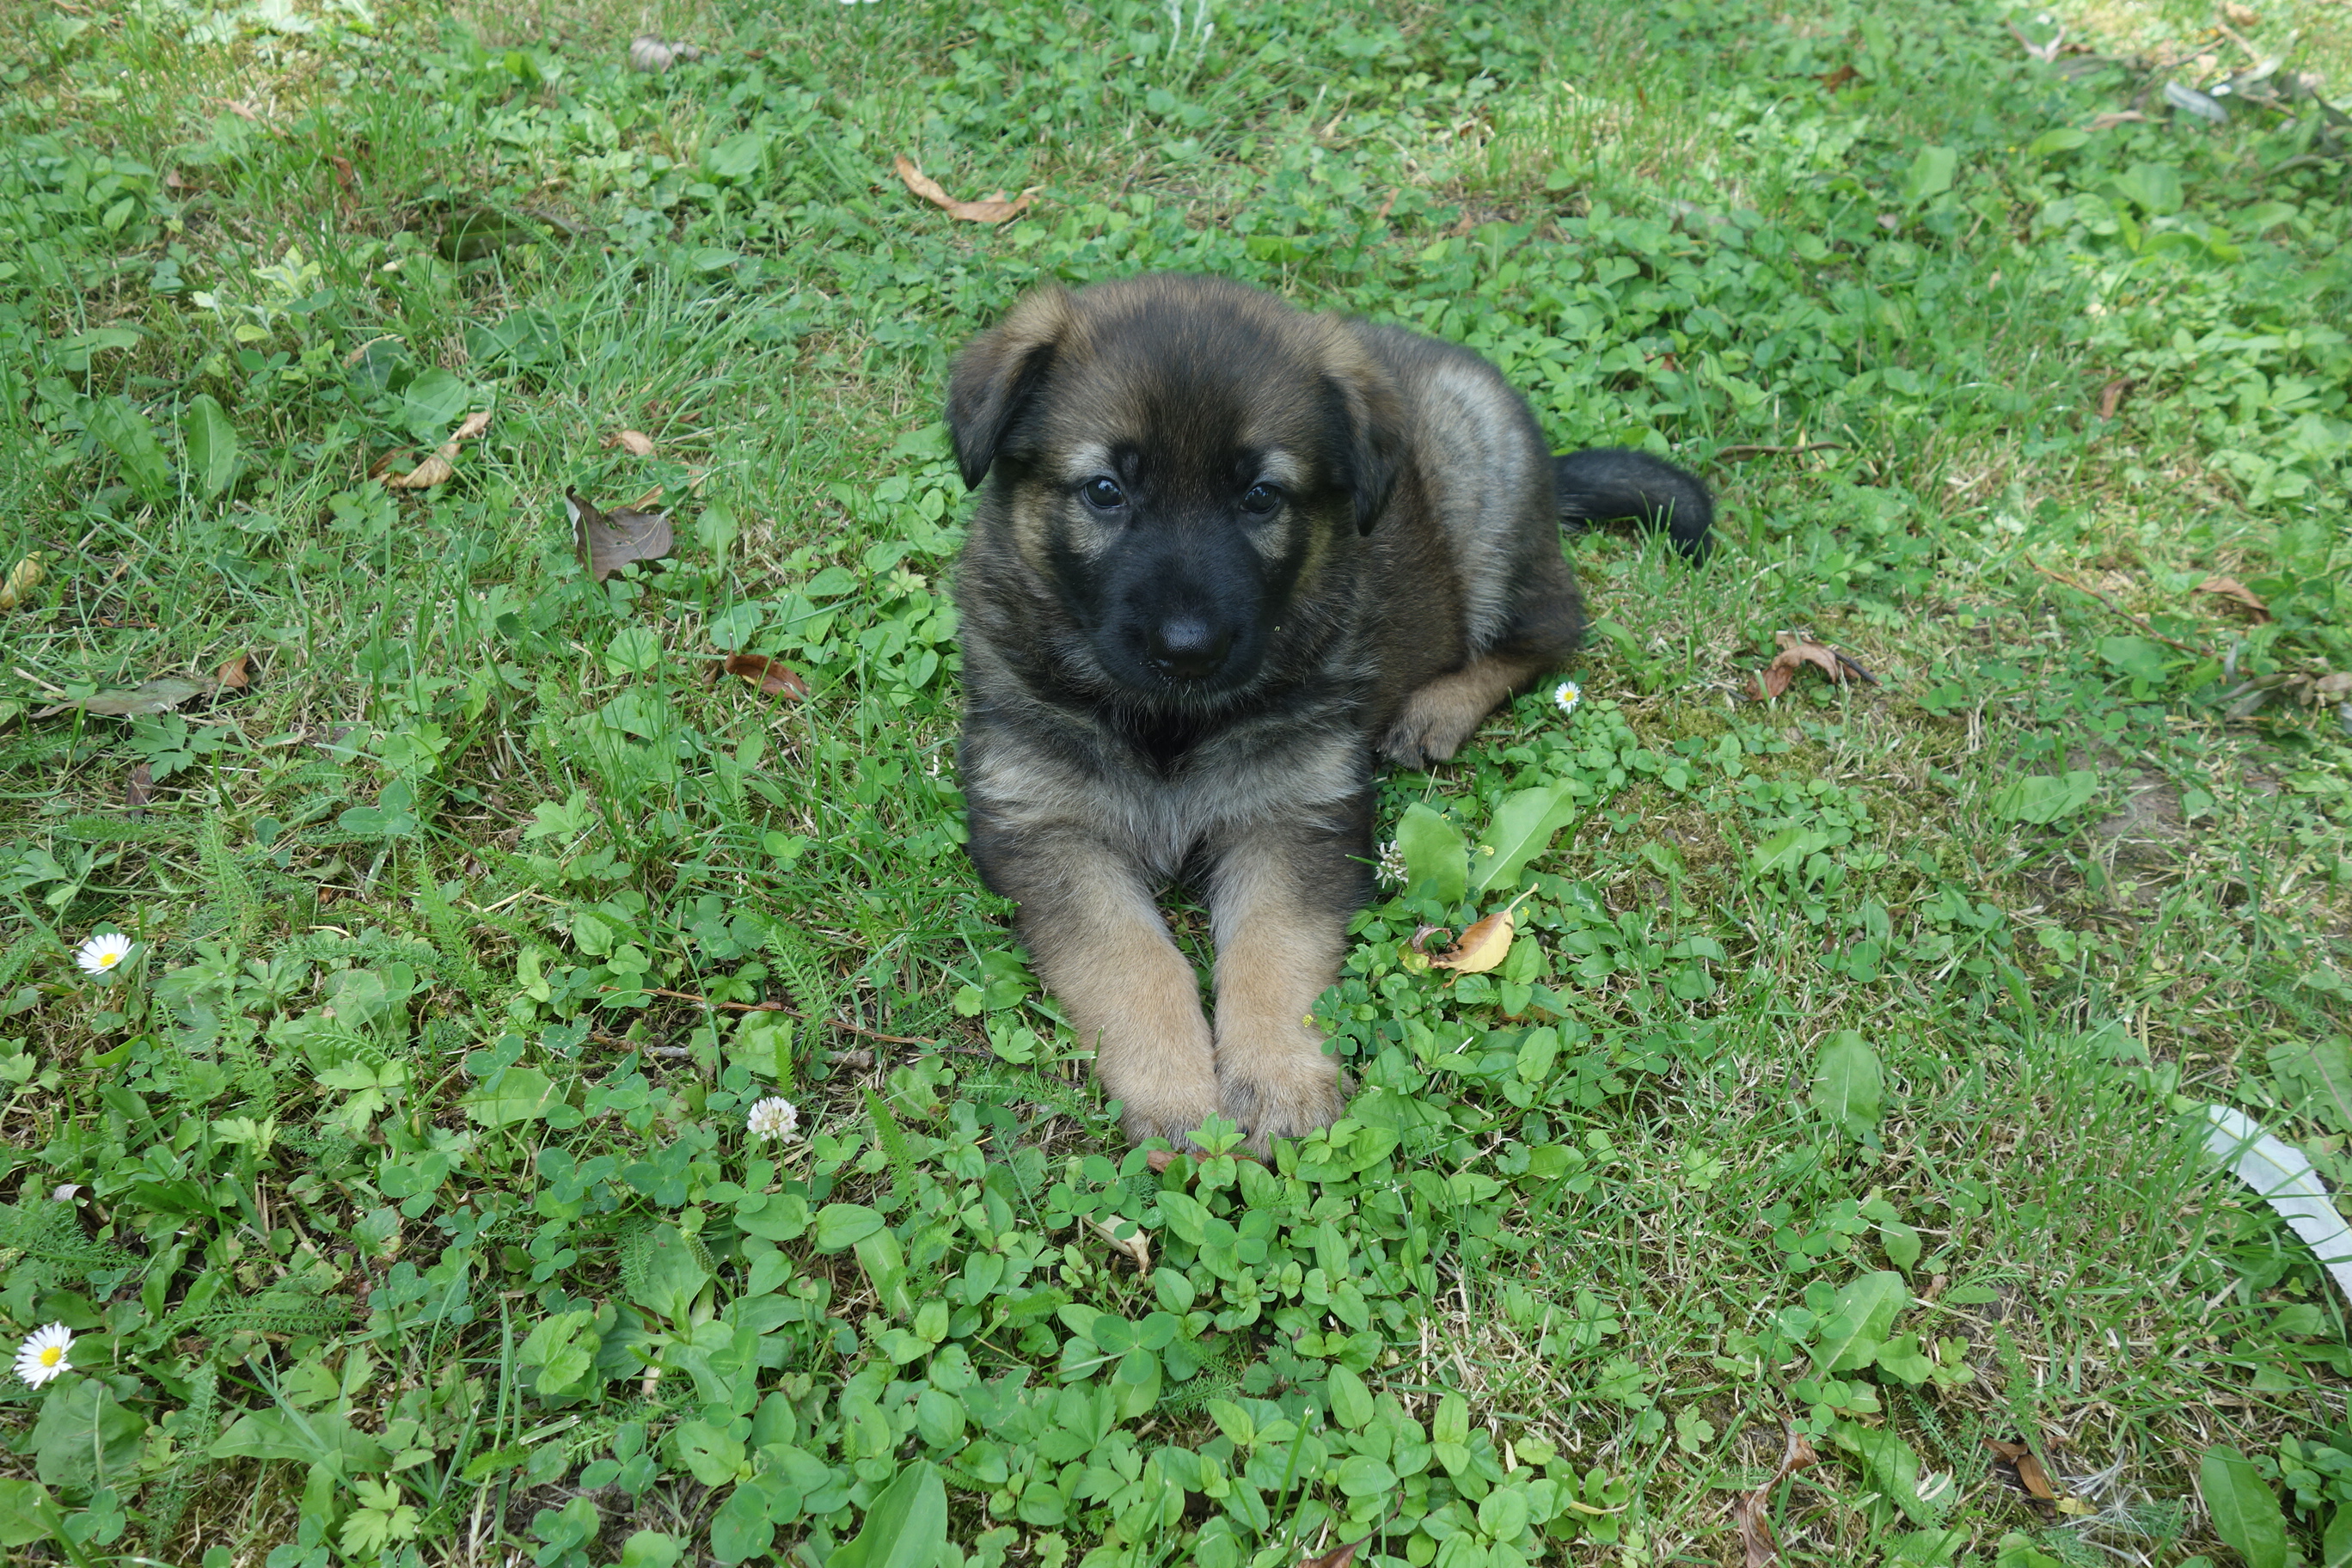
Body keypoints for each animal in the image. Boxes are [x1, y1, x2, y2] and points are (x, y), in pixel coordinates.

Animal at [946, 274, 1711, 1154]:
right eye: (1105, 491)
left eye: (1260, 497)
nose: (1188, 648)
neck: (1171, 724)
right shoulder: (1049, 828)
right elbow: (1131, 957)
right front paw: (1175, 1092)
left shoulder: (1294, 817)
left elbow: (1271, 947)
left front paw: (1278, 1079)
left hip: (1486, 498)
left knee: (1551, 628)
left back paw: (1436, 709)